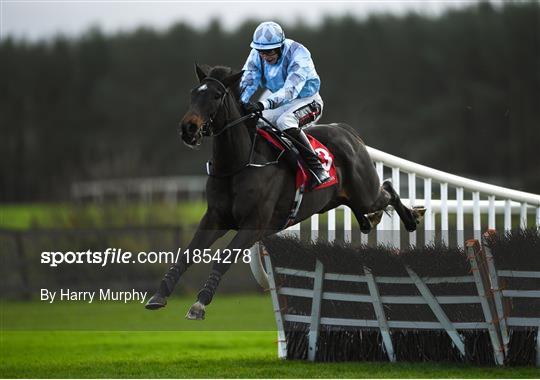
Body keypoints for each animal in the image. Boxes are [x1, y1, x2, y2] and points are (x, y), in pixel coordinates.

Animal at [146, 63, 424, 320]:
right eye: (193, 94)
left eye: (215, 95)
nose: (188, 129)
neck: (238, 164)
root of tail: (347, 131)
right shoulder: (214, 218)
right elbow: (187, 254)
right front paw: (159, 295)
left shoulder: (254, 224)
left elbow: (224, 257)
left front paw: (200, 303)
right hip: (339, 198)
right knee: (367, 207)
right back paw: (371, 221)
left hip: (365, 193)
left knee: (387, 189)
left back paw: (412, 218)